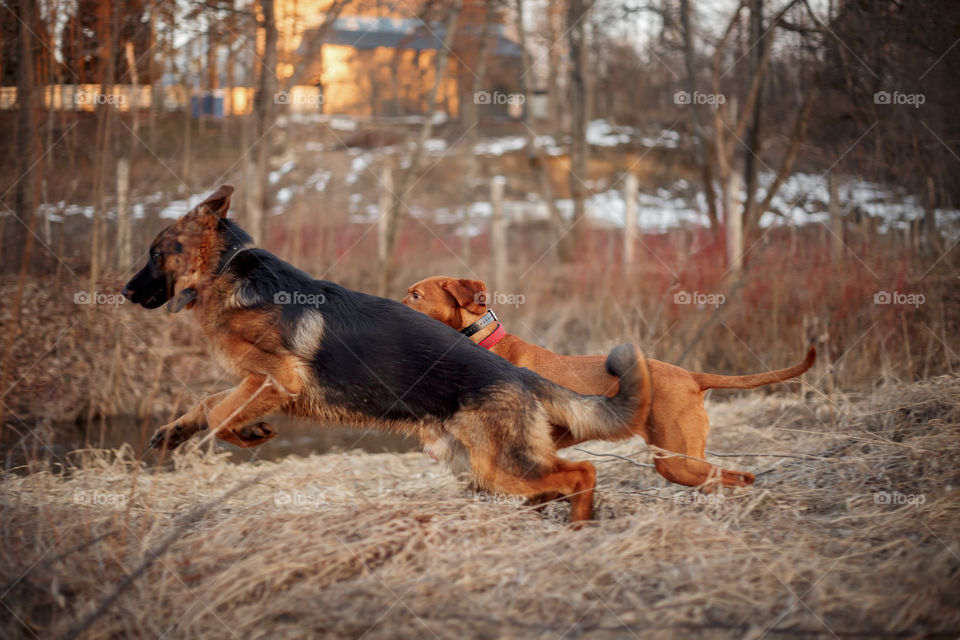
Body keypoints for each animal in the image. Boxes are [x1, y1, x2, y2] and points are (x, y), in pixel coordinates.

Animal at [122, 186, 652, 524]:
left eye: (154, 253)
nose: (123, 292)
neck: (226, 271)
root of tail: (518, 374)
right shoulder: (257, 381)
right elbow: (209, 406)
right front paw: (181, 431)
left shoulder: (279, 377)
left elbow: (220, 415)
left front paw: (247, 432)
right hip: (483, 465)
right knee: (559, 480)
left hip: (501, 464)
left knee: (582, 472)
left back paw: (580, 527)